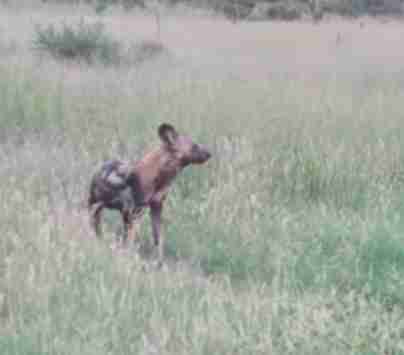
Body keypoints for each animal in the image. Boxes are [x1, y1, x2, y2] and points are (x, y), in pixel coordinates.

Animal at [87, 124, 210, 262]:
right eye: (195, 146)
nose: (209, 153)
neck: (161, 176)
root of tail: (100, 169)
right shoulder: (133, 212)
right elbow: (130, 241)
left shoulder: (156, 208)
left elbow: (158, 239)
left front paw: (159, 261)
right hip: (100, 208)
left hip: (105, 211)